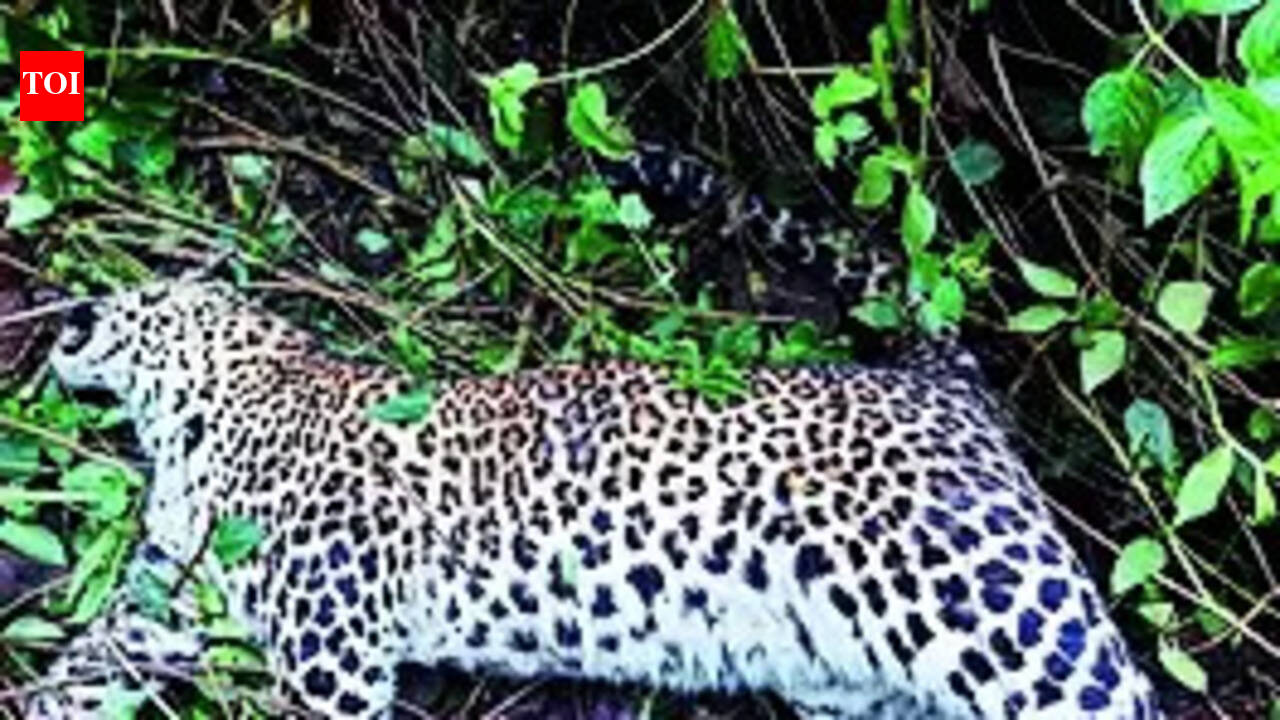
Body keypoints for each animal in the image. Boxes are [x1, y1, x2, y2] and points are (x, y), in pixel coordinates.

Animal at [28, 278, 1162, 719]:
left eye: (121, 301)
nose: (63, 313)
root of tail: (945, 386)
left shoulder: (332, 655)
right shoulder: (169, 599)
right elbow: (85, 668)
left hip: (1000, 608)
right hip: (856, 681)